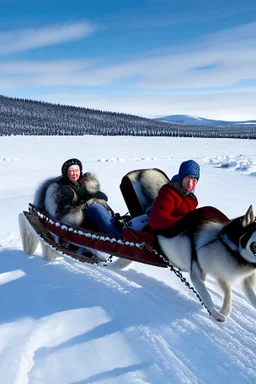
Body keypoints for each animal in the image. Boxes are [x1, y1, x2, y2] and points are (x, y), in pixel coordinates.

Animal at [115, 206, 256, 322]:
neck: (228, 248)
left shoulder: (227, 276)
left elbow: (229, 295)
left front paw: (223, 311)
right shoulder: (197, 273)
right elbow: (207, 295)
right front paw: (215, 314)